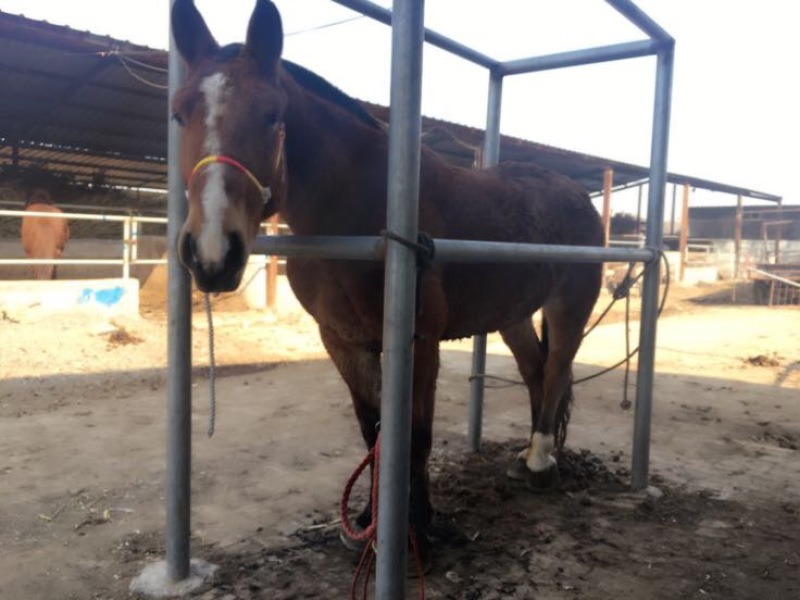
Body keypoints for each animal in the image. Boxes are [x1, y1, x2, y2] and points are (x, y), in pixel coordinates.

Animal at [171, 0, 604, 568]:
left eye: (272, 115)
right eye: (178, 113)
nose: (213, 253)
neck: (357, 212)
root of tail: (579, 195)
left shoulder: (418, 343)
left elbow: (412, 436)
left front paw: (415, 529)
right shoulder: (343, 340)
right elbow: (373, 429)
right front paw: (365, 523)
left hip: (570, 304)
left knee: (555, 372)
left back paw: (540, 462)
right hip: (512, 314)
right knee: (535, 370)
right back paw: (530, 455)